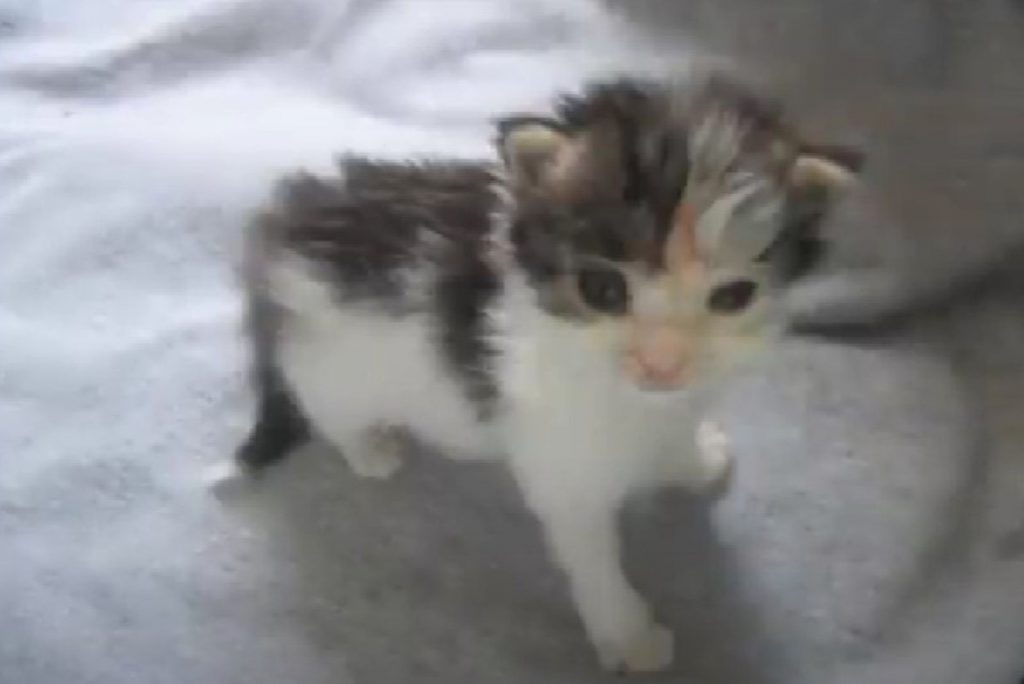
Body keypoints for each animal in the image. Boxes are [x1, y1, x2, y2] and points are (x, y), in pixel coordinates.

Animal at [232, 74, 856, 671]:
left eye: (732, 296)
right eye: (603, 290)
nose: (662, 362)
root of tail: (281, 229)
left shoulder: (678, 396)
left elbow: (676, 428)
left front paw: (694, 460)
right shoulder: (563, 467)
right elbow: (591, 555)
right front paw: (628, 635)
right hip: (332, 367)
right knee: (320, 401)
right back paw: (369, 450)